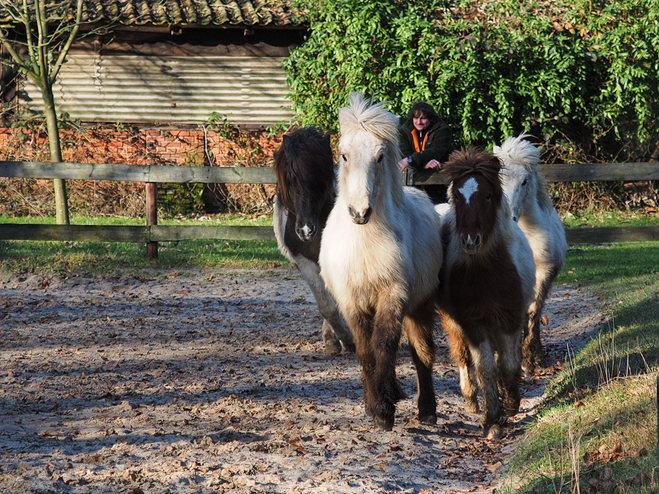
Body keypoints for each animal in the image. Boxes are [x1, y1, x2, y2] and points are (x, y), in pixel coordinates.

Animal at [320, 91, 444, 428]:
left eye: (379, 157)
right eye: (344, 155)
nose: (359, 212)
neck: (364, 242)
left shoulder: (393, 296)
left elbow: (385, 344)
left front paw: (387, 406)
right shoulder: (351, 301)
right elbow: (365, 351)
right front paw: (374, 406)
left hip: (420, 305)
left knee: (421, 352)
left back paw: (427, 409)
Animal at [438, 148, 536, 440]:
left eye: (488, 196)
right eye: (457, 196)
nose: (471, 240)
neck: (487, 272)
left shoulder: (511, 318)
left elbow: (509, 365)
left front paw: (511, 404)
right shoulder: (473, 323)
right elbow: (486, 368)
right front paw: (492, 419)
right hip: (453, 322)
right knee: (463, 357)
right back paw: (471, 399)